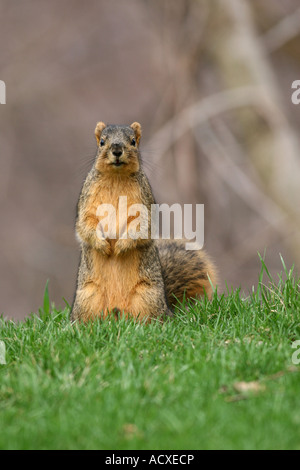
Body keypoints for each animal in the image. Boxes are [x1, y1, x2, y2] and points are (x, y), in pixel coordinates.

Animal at [70, 120, 217, 324]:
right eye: (102, 142)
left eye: (133, 141)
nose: (117, 150)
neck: (116, 177)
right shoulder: (87, 202)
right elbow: (85, 224)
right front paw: (103, 244)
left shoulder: (144, 204)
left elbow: (141, 226)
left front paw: (121, 246)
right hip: (88, 297)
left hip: (147, 296)